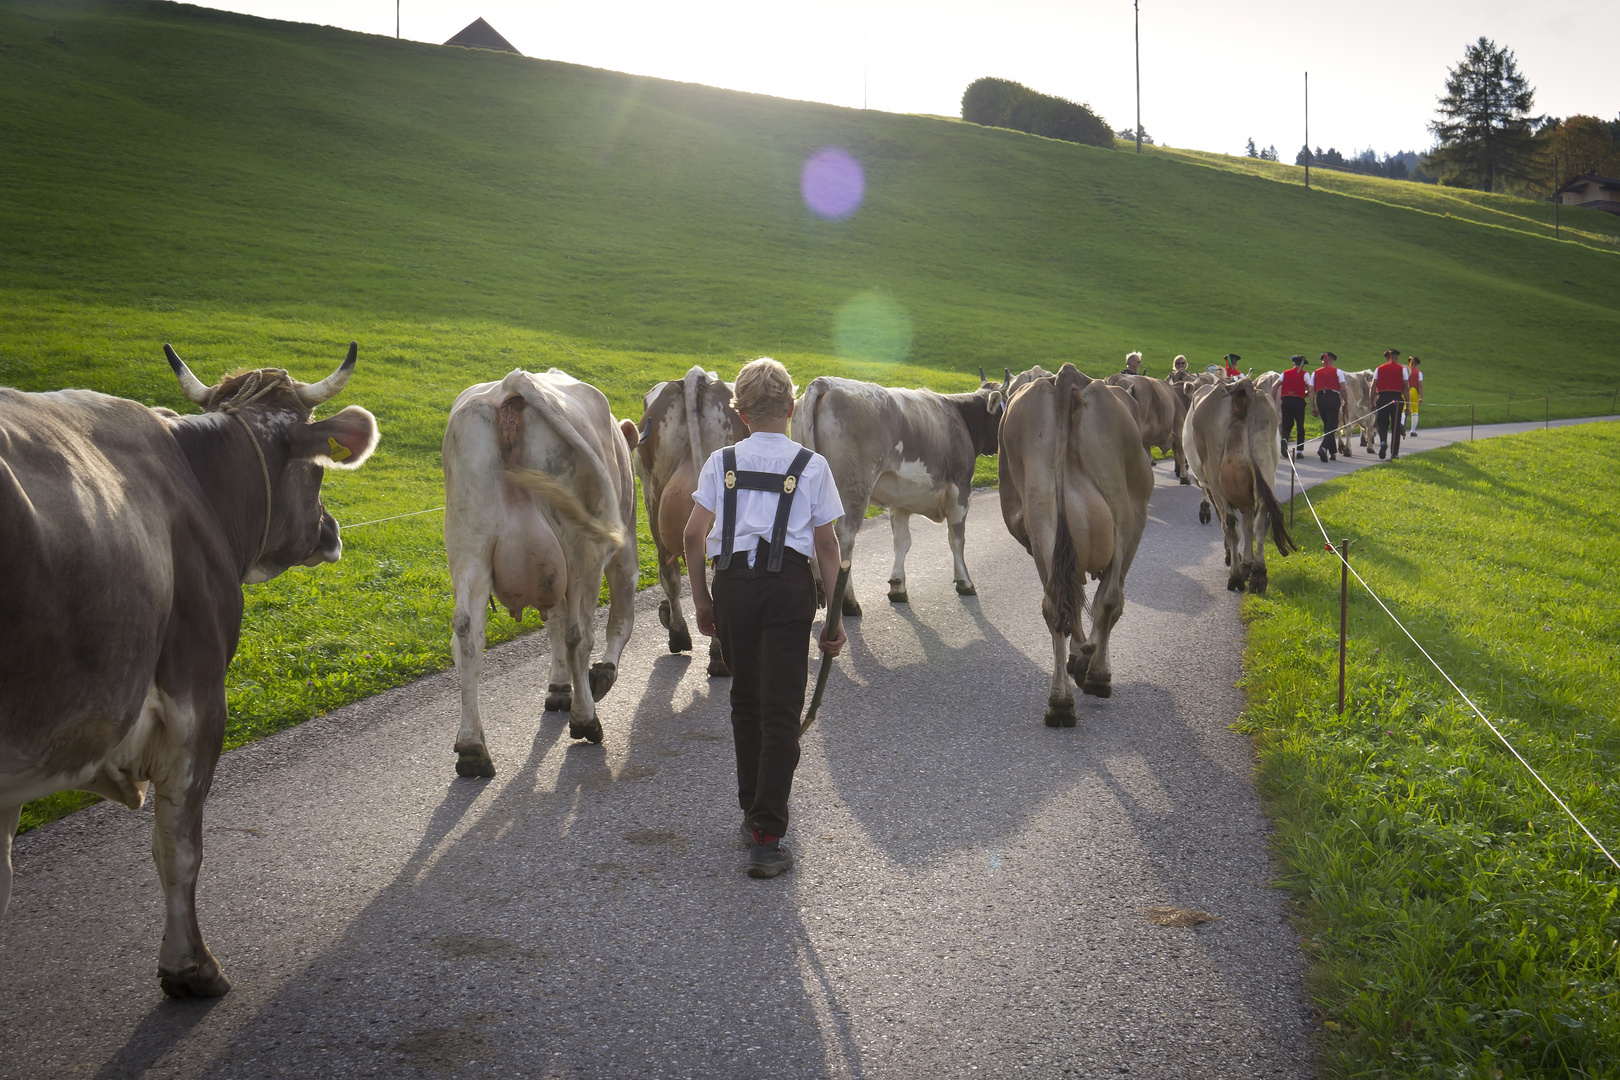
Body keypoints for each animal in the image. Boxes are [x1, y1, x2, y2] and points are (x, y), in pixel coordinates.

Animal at [450, 369, 644, 767]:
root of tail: (512, 385)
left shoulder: (548, 573)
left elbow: (553, 622)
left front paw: (558, 688)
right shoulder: (625, 550)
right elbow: (620, 622)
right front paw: (602, 675)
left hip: (469, 547)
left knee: (467, 636)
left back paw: (472, 748)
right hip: (583, 549)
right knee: (578, 634)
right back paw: (586, 720)